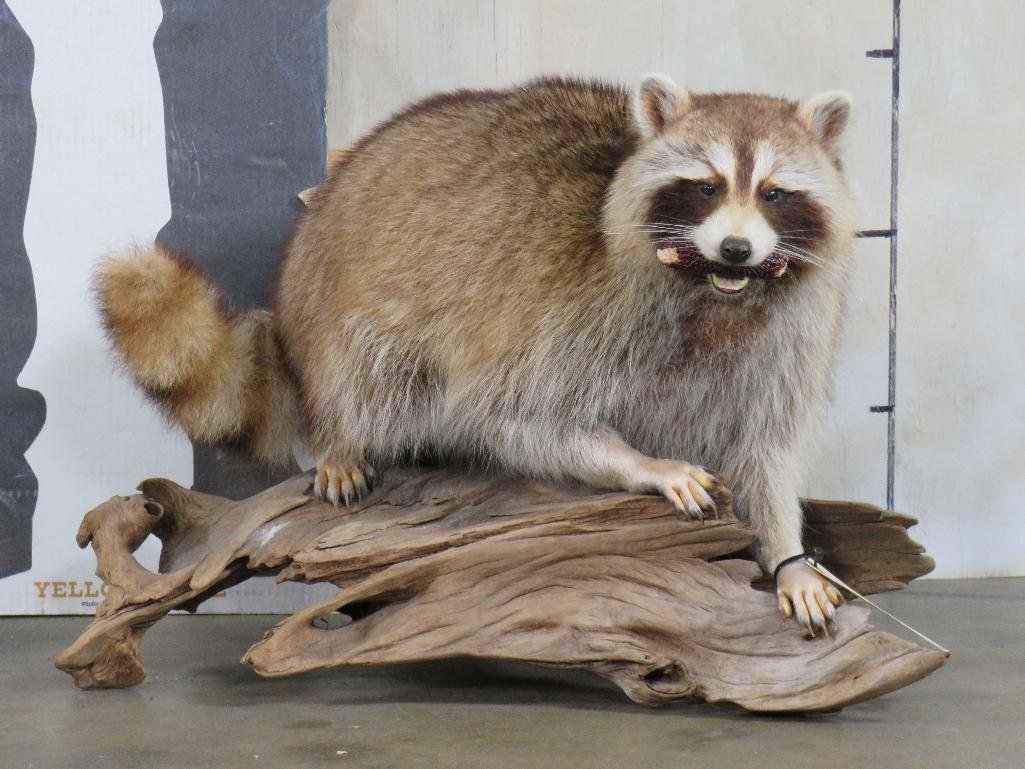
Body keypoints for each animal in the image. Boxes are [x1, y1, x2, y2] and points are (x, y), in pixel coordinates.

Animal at [99, 75, 856, 635]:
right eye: (705, 185)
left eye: (773, 192)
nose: (736, 248)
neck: (713, 291)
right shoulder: (570, 313)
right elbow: (512, 418)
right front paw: (644, 463)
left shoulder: (787, 338)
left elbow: (764, 447)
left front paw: (787, 554)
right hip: (346, 301)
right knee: (376, 377)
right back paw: (342, 436)